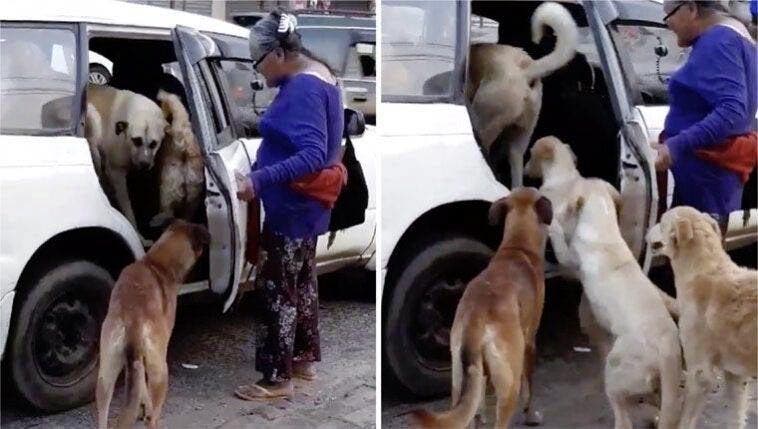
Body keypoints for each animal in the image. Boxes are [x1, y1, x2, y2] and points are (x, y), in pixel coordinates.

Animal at [94, 221, 211, 428]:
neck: (156, 262)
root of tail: (132, 318)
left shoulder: (136, 361)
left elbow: (140, 387)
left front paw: (142, 408)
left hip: (106, 370)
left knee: (102, 412)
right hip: (160, 372)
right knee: (154, 416)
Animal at [412, 187, 556, 428]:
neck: (517, 245)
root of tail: (475, 318)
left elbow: (478, 405)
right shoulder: (530, 343)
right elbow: (529, 387)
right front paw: (531, 415)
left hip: (459, 377)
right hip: (509, 383)